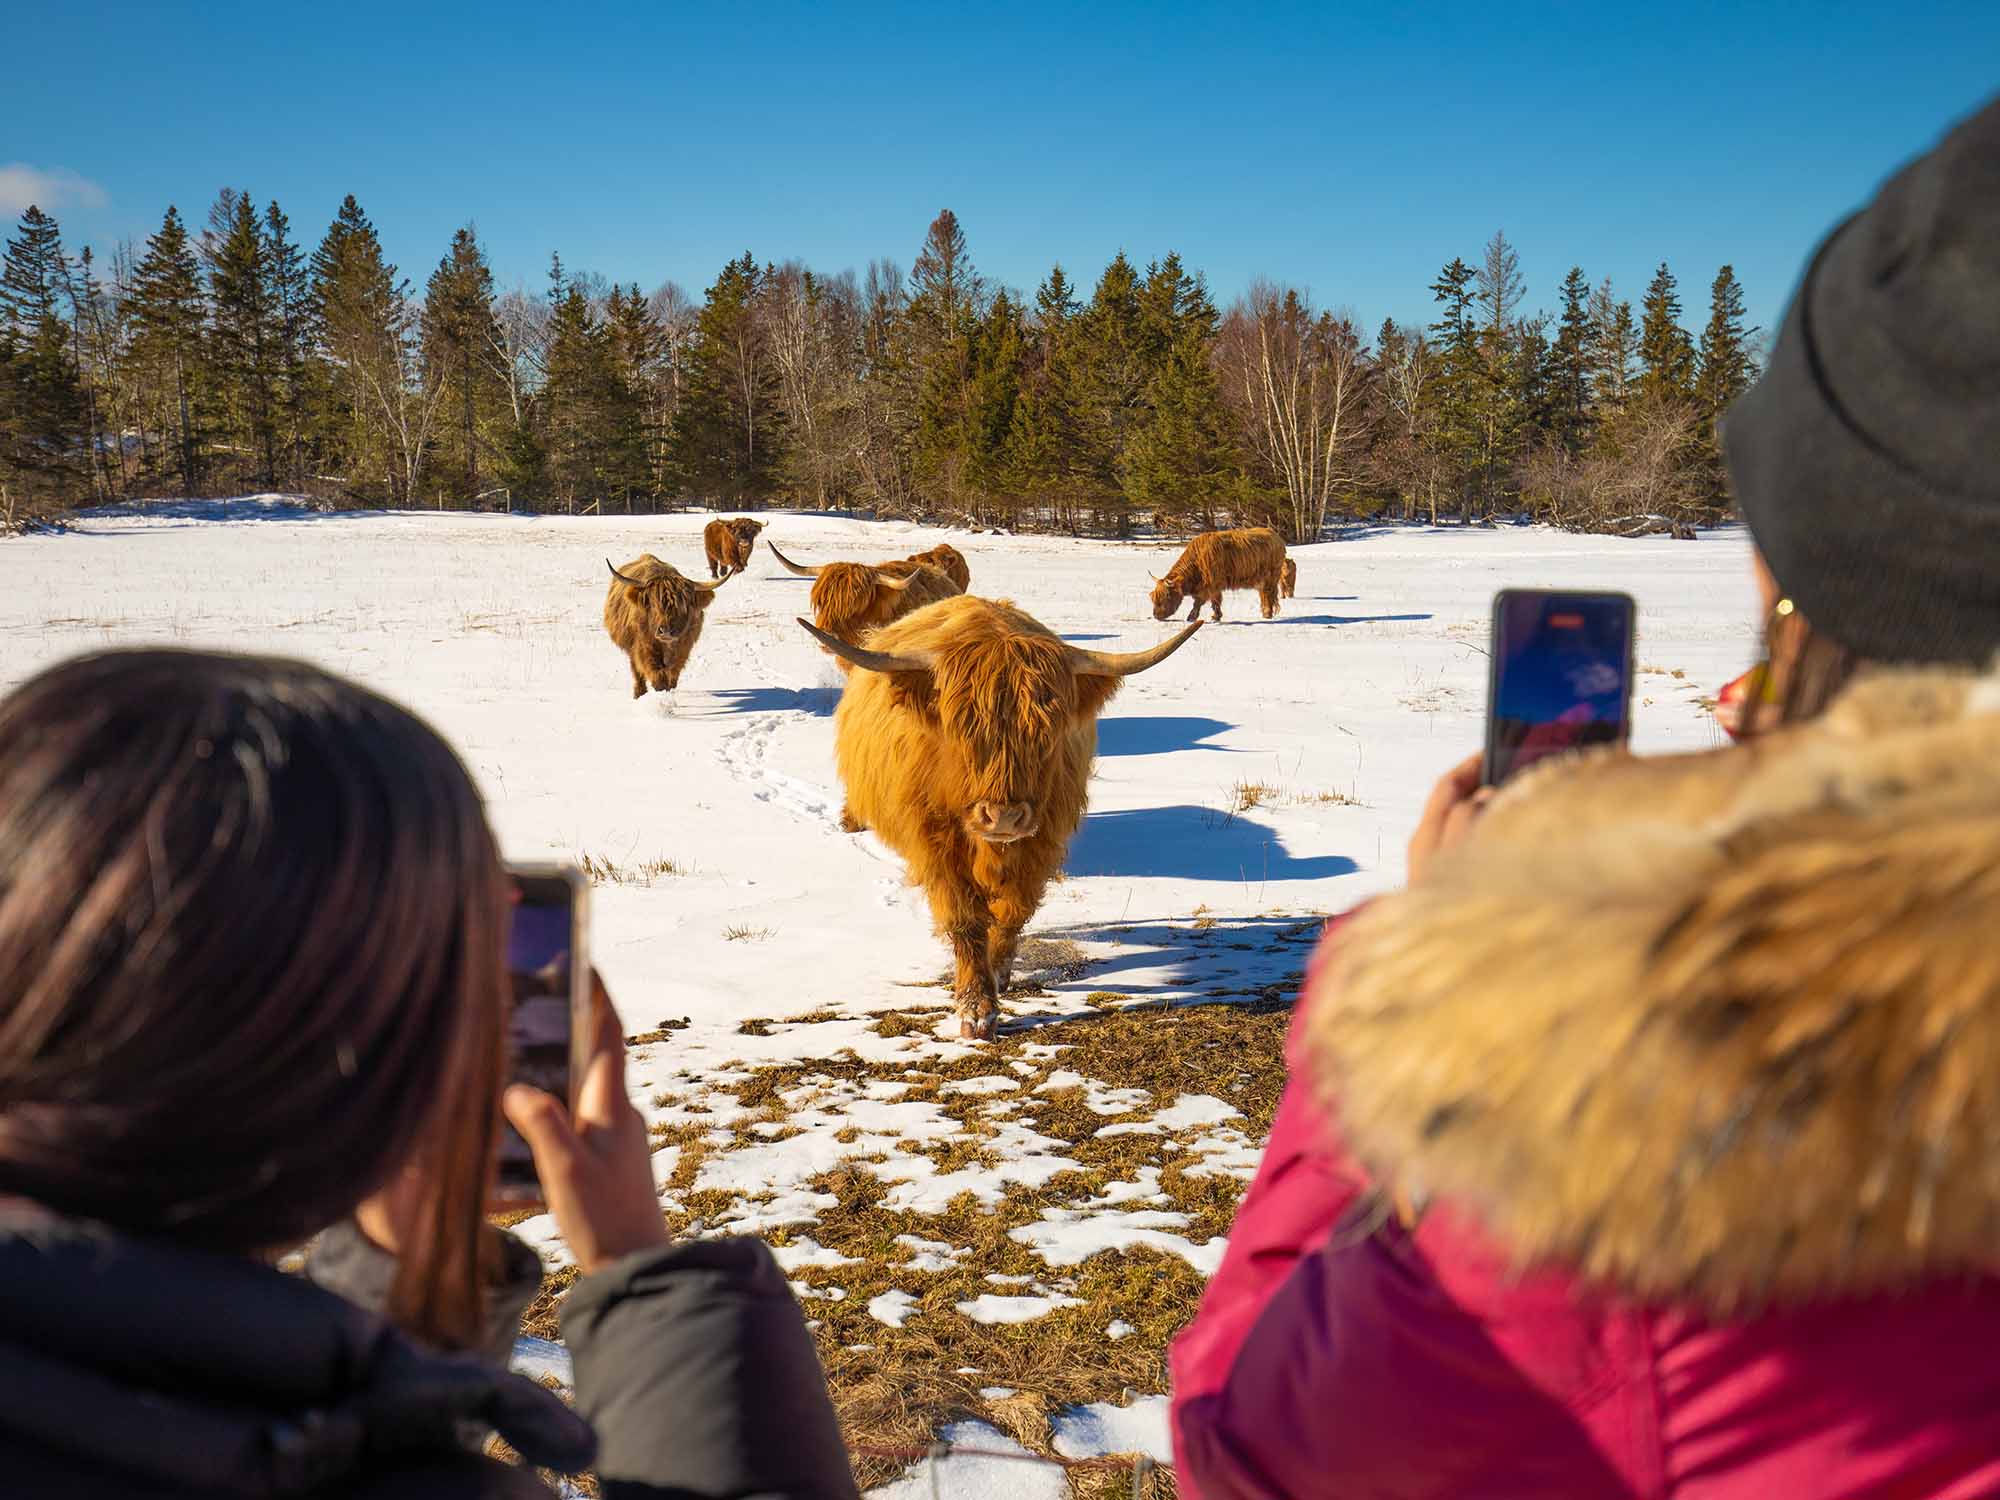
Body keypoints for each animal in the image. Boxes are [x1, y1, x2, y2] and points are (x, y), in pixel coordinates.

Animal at [602, 555, 730, 698]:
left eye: (683, 607)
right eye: (653, 605)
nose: (666, 631)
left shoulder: (683, 647)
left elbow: (672, 672)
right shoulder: (644, 646)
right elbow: (655, 672)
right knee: (636, 669)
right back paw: (639, 693)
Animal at [803, 595, 1201, 1039]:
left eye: (1046, 732)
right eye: (961, 727)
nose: (1004, 817)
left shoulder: (1041, 842)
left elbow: (1013, 911)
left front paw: (998, 973)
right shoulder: (936, 845)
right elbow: (964, 920)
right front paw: (976, 1009)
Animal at [1149, 526, 1287, 622]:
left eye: (1166, 595)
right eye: (1153, 597)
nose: (1156, 615)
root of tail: (1275, 535)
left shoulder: (1211, 585)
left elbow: (1199, 602)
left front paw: (1191, 617)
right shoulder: (1213, 586)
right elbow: (1215, 601)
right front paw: (1216, 616)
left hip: (1271, 577)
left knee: (1268, 594)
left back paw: (1267, 614)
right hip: (1262, 580)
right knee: (1263, 594)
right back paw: (1265, 613)